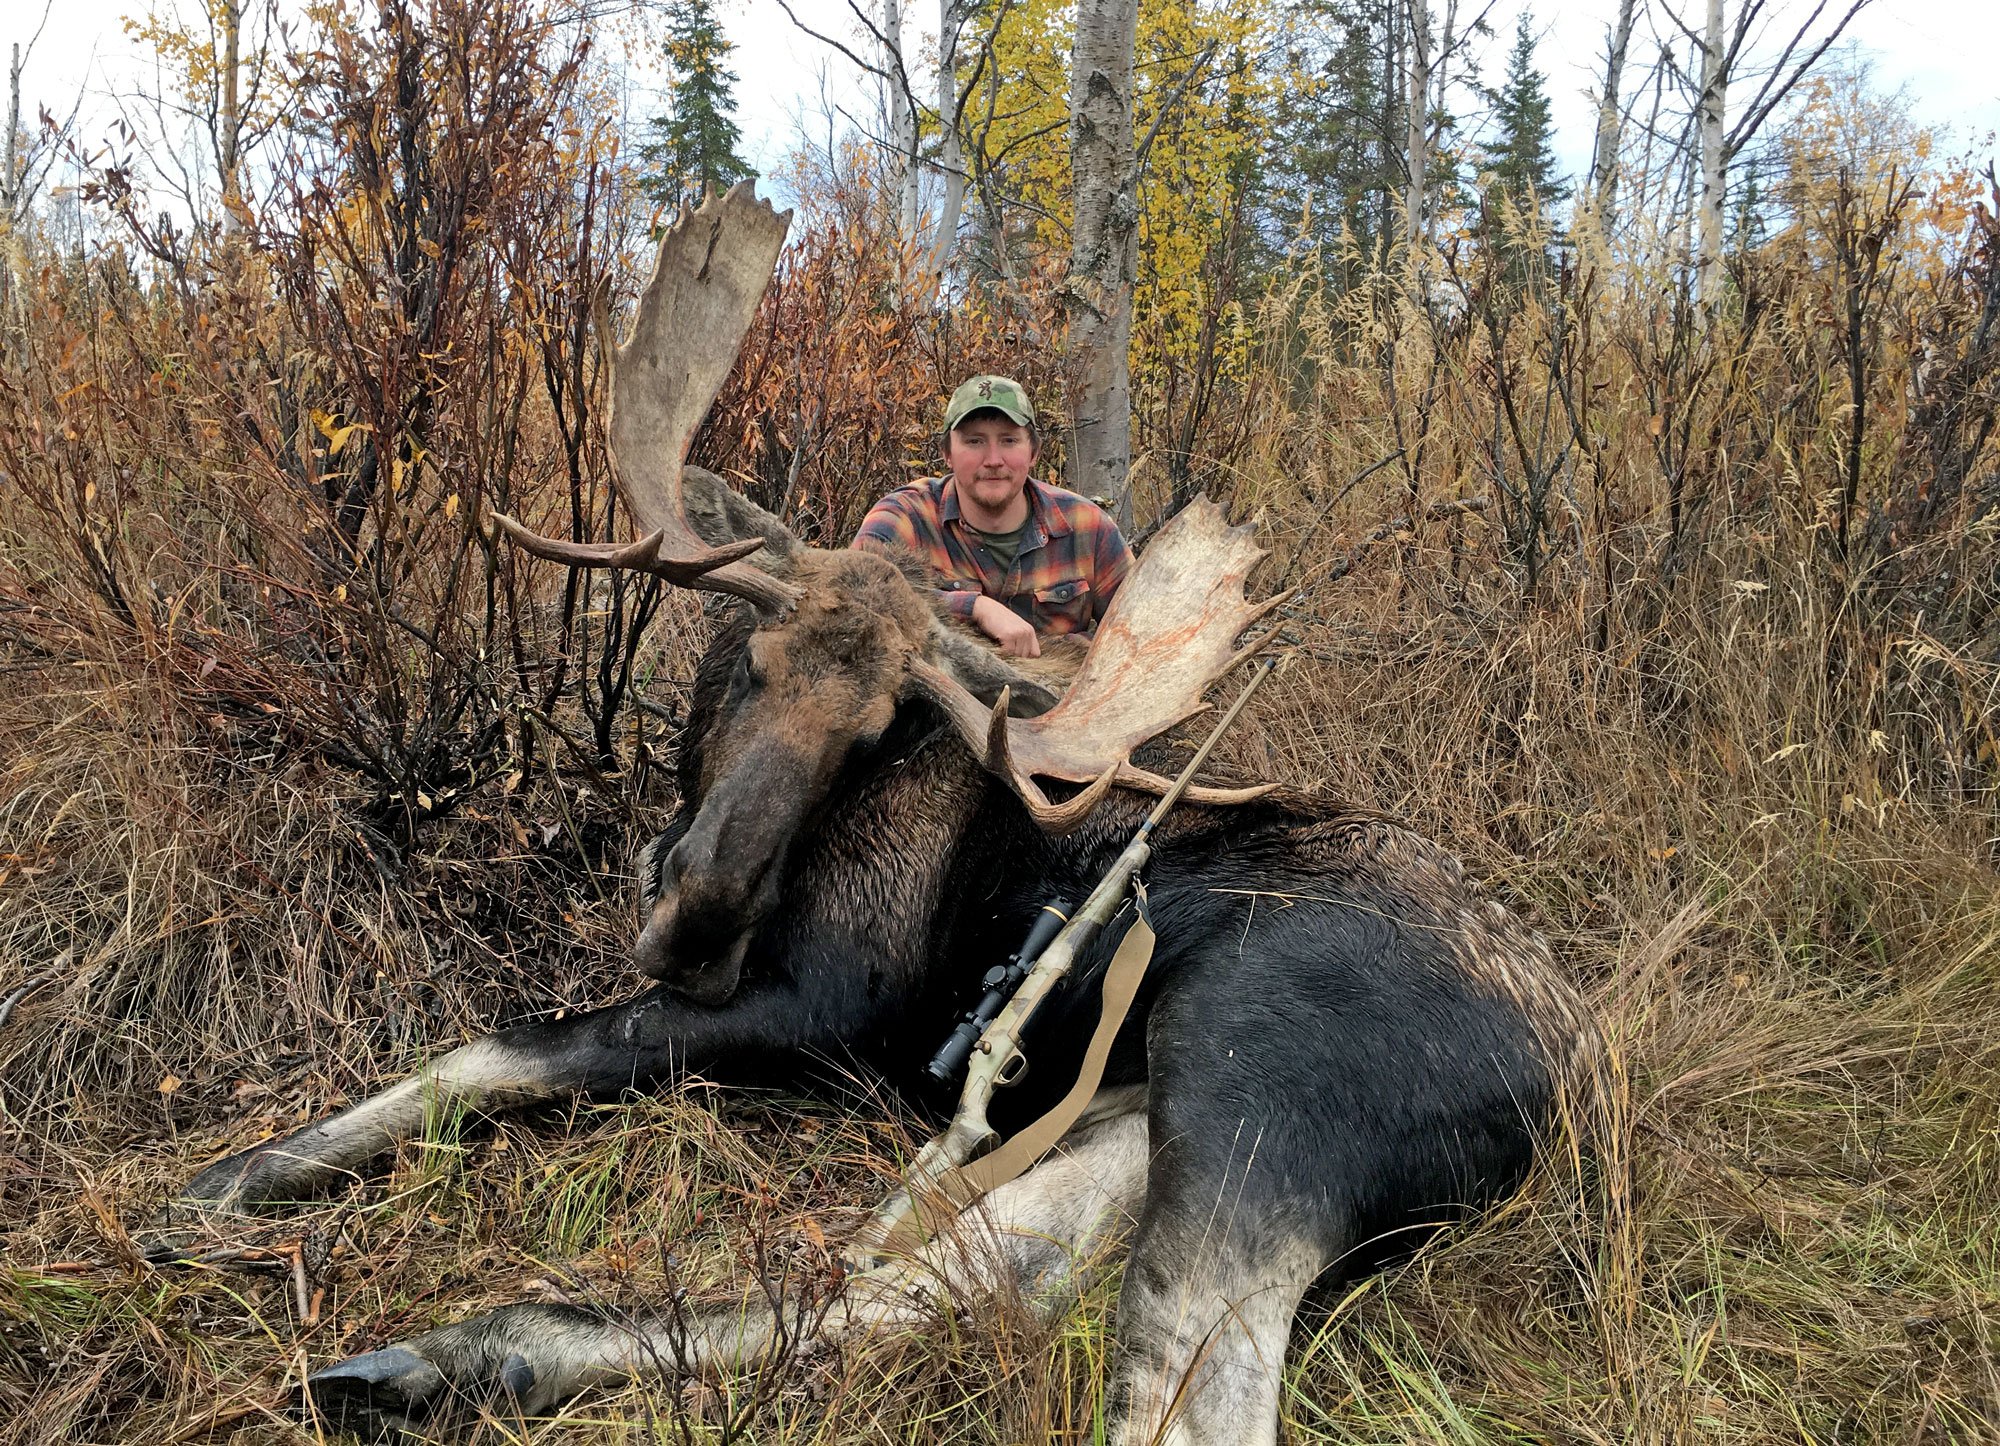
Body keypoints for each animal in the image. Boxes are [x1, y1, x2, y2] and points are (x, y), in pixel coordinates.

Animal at [163, 184, 1601, 1444]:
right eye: (749, 656)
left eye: (869, 732)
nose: (700, 917)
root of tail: (1573, 1079)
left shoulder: (821, 1007)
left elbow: (497, 1049)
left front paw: (222, 1180)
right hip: (1129, 1110)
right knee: (964, 1278)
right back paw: (452, 1355)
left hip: (1256, 1083)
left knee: (1167, 1382)